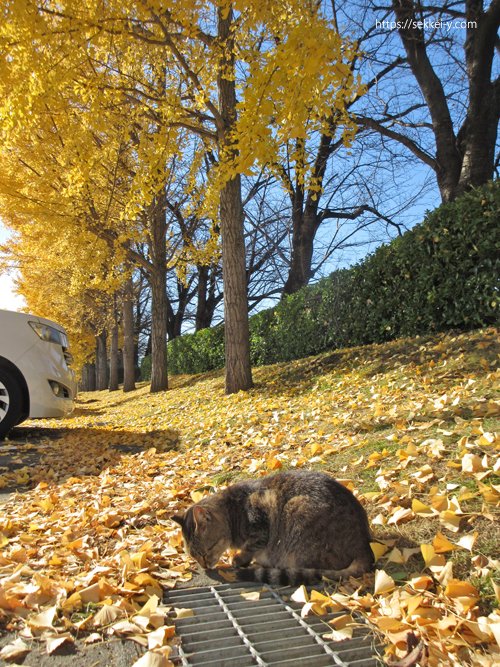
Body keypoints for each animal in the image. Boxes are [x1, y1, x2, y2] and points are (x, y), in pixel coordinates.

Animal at [172, 470, 372, 584]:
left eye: (205, 552)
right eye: (193, 556)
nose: (204, 566)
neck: (233, 510)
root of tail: (365, 547)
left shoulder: (261, 523)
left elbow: (250, 547)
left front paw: (238, 559)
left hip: (297, 512)